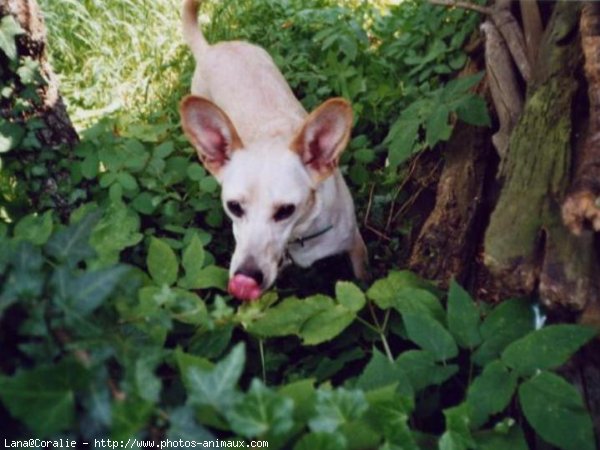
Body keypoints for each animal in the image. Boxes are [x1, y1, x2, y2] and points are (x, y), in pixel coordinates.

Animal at [179, 0, 366, 302]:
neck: (300, 234)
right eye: (234, 207)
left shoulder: (355, 245)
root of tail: (212, 48)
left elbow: (364, 284)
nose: (246, 276)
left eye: (286, 211)